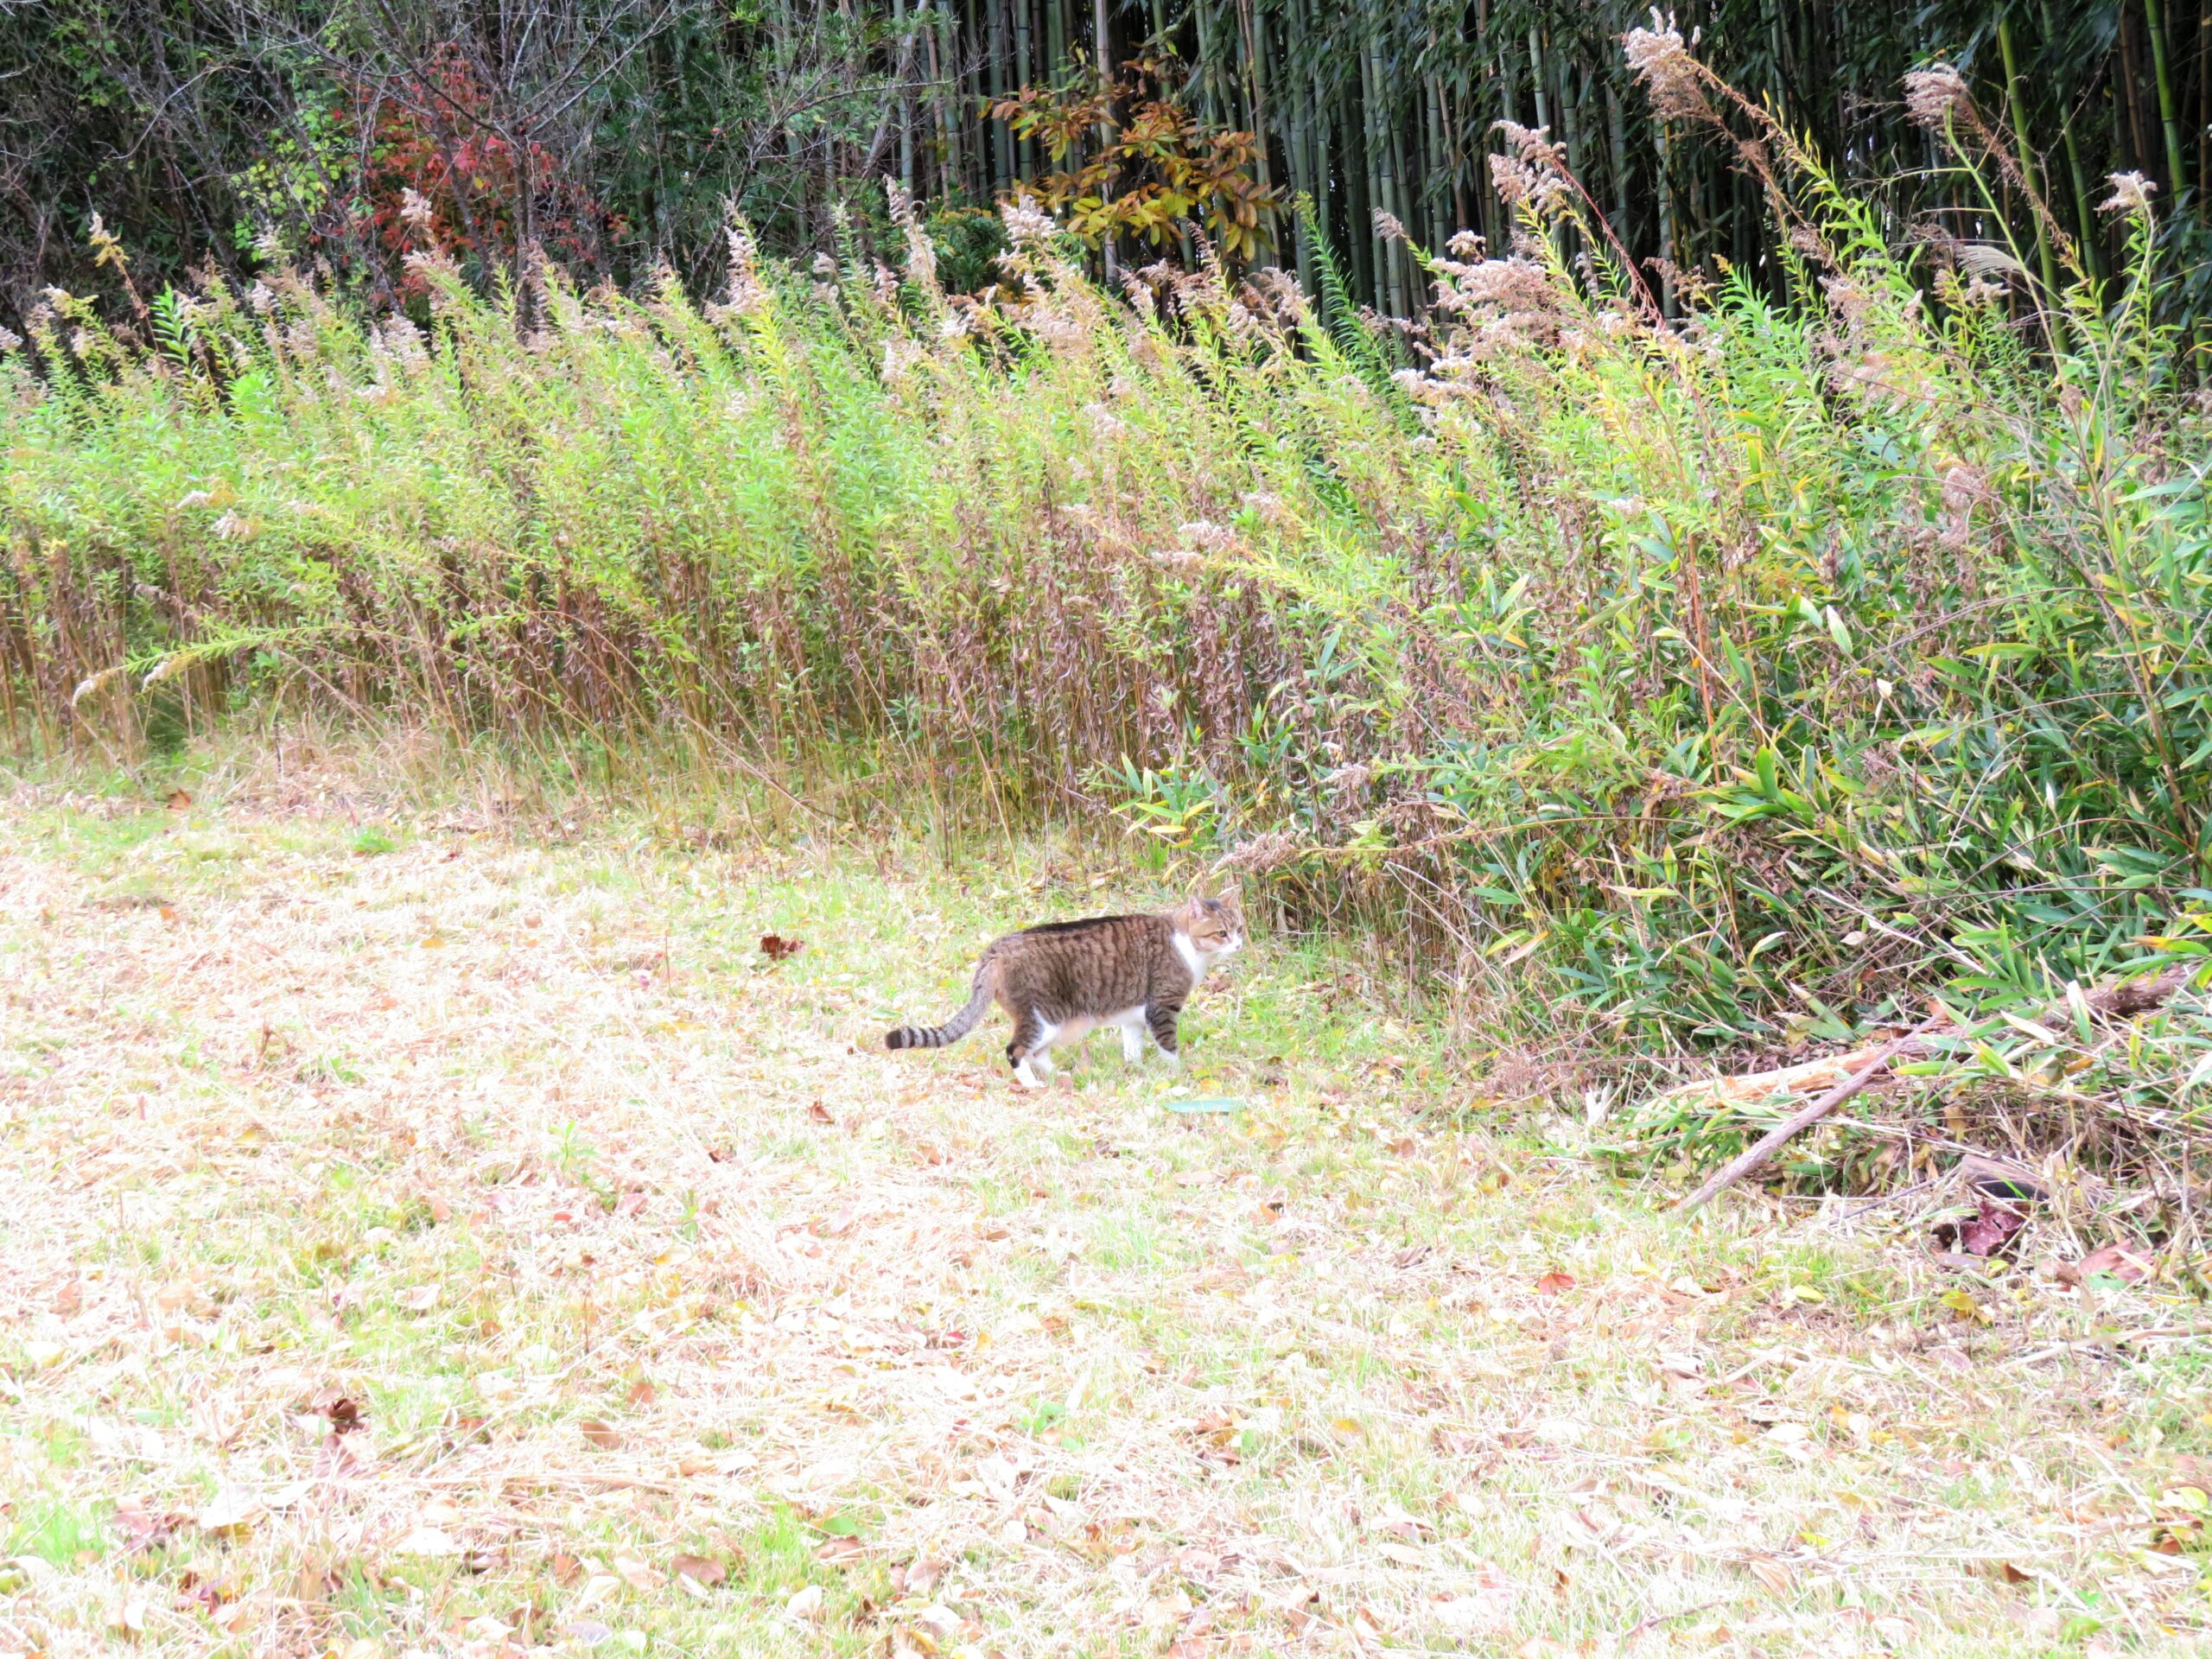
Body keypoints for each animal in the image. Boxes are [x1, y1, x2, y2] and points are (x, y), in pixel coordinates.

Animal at [885, 898, 1247, 1092]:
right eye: (1221, 933)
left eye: (1239, 928)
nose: (1239, 944)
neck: (1187, 945)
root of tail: (995, 951)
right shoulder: (1162, 1007)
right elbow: (1170, 1048)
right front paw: (1178, 1076)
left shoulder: (1134, 1017)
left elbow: (1133, 1049)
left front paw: (1136, 1070)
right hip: (1045, 1017)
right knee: (1017, 1050)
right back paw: (1032, 1085)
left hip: (1056, 1024)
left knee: (1037, 1053)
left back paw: (1061, 1075)